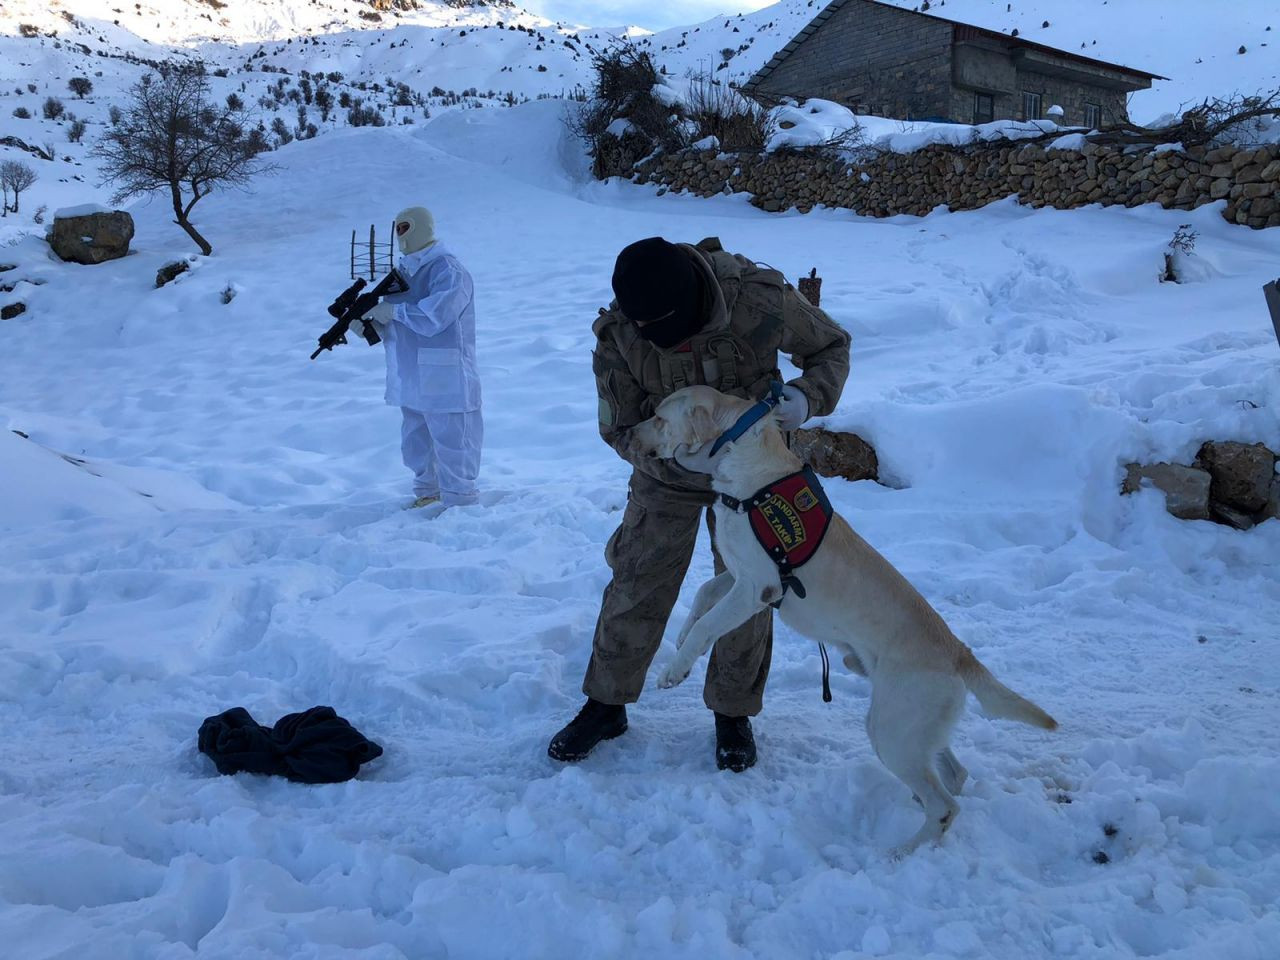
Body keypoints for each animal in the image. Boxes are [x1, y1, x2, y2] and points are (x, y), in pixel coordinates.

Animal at [624, 386, 1054, 860]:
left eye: (659, 418)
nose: (629, 434)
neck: (740, 464)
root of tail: (960, 653)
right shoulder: (737, 577)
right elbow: (702, 596)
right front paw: (680, 637)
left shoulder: (756, 588)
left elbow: (708, 626)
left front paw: (674, 670)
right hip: (911, 727)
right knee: (954, 777)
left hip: (891, 729)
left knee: (945, 805)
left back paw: (902, 852)